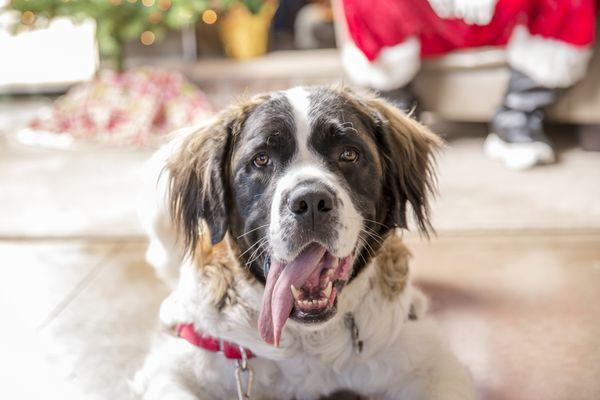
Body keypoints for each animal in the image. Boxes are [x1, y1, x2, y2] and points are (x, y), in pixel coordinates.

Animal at [135, 86, 474, 398]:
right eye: (261, 160)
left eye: (348, 154)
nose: (310, 200)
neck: (306, 337)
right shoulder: (174, 371)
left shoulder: (434, 367)